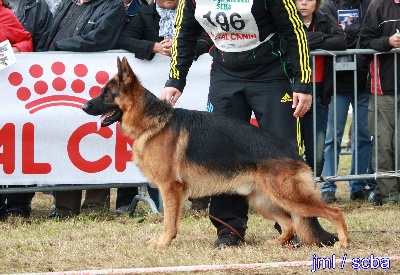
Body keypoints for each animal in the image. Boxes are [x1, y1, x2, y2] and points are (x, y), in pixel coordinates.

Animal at [83, 56, 348, 250]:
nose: (85, 106)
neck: (152, 121)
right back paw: (276, 242)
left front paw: (163, 243)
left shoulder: (170, 189)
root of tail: (294, 152)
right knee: (289, 224)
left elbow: (169, 223)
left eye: (106, 93)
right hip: (264, 201)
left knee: (334, 212)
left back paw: (343, 242)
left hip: (289, 197)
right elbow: (170, 221)